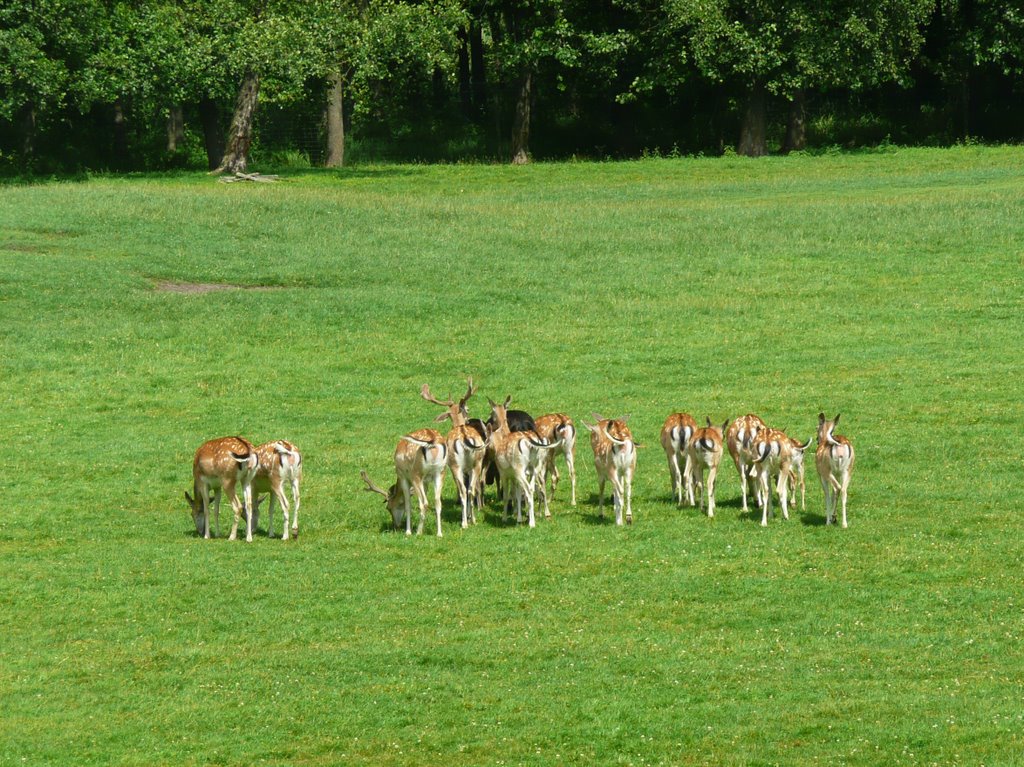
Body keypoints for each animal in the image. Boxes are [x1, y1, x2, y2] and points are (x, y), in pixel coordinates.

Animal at [421, 374, 489, 528]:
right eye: (468, 409)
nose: (468, 417)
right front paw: (469, 516)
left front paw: (466, 516)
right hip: (472, 463)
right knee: (469, 490)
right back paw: (471, 520)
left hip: (458, 465)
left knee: (466, 490)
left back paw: (466, 521)